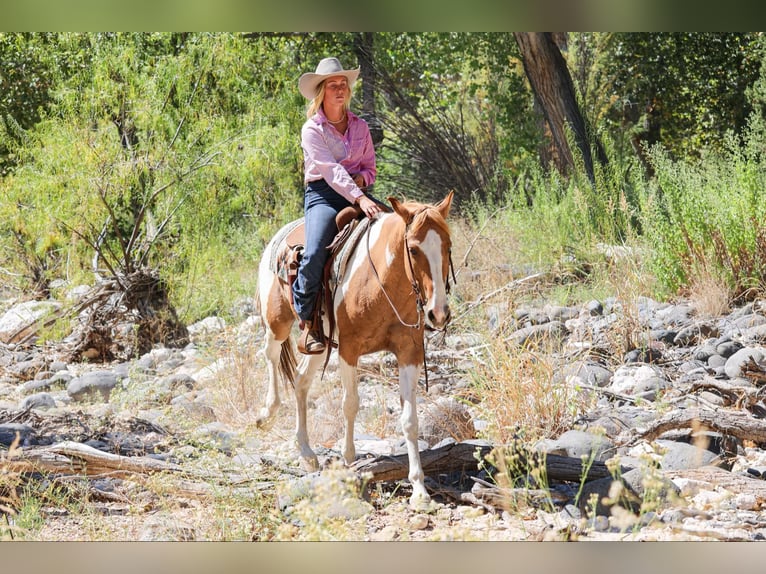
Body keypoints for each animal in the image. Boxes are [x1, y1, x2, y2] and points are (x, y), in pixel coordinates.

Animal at [255, 191, 454, 509]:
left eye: (448, 246)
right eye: (413, 249)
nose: (438, 314)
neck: (382, 281)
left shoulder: (408, 352)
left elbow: (410, 420)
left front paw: (419, 489)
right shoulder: (349, 348)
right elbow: (350, 405)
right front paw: (349, 464)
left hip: (319, 342)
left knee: (300, 380)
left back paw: (307, 454)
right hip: (278, 322)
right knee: (271, 355)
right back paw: (266, 413)